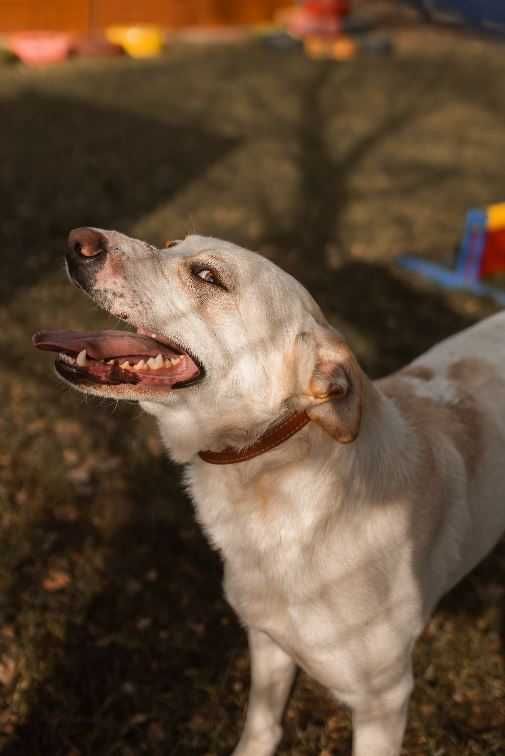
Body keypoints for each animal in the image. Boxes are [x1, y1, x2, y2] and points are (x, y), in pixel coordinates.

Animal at [33, 226, 504, 756]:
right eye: (172, 243)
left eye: (207, 276)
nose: (79, 241)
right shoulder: (266, 640)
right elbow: (262, 723)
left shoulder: (384, 701)